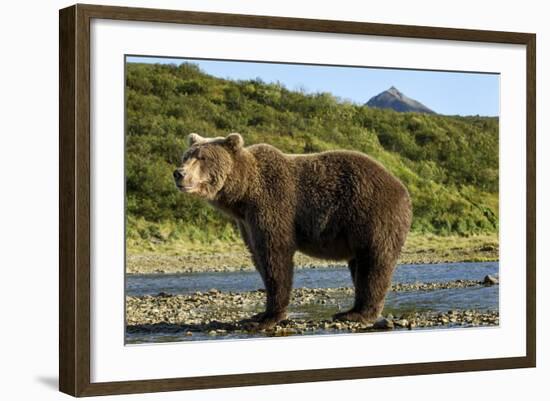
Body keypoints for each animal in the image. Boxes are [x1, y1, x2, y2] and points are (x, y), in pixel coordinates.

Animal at [175, 133, 412, 330]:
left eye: (202, 157)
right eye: (186, 156)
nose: (179, 173)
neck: (243, 195)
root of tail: (401, 187)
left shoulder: (273, 204)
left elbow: (276, 256)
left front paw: (268, 317)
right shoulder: (247, 222)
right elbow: (259, 258)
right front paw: (257, 315)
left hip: (372, 215)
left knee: (373, 262)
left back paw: (358, 314)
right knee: (360, 265)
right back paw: (351, 311)